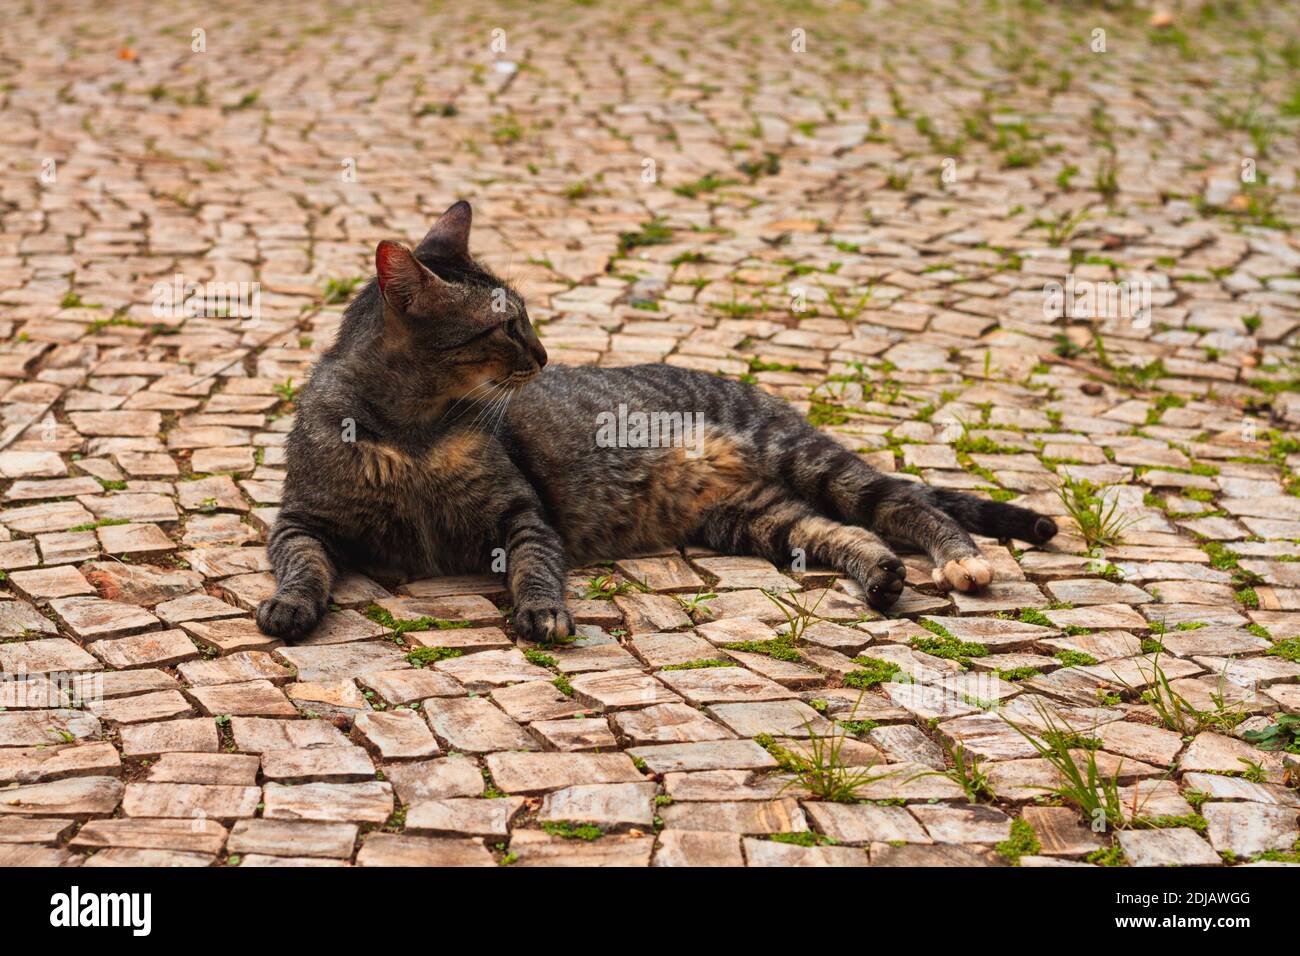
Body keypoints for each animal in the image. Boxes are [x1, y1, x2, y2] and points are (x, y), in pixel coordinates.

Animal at [258, 200, 1060, 642]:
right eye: (506, 327)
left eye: (526, 318)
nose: (544, 354)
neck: (414, 434)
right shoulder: (302, 519)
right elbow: (303, 566)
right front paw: (290, 607)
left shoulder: (522, 514)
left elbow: (535, 567)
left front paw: (542, 613)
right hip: (753, 517)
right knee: (842, 532)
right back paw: (883, 577)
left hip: (804, 458)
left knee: (904, 502)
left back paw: (960, 560)